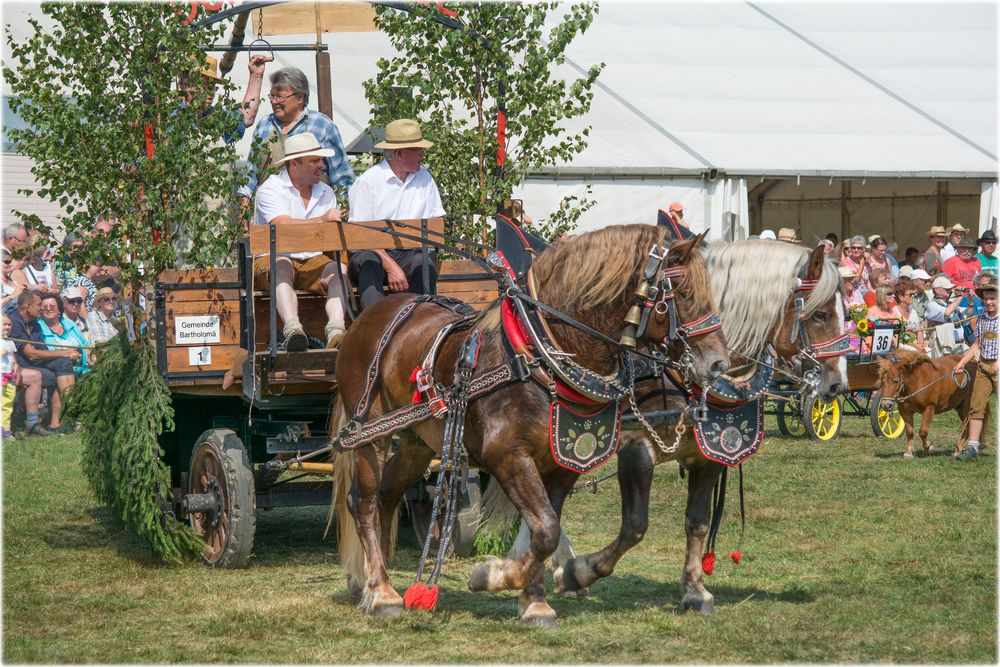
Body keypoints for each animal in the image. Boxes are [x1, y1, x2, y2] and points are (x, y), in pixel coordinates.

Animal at [332, 224, 732, 628]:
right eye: (684, 294)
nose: (719, 364)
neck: (539, 354)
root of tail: (366, 318)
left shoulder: (563, 459)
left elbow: (546, 527)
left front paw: (535, 599)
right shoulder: (507, 455)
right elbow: (545, 529)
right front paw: (492, 576)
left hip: (418, 442)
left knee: (387, 496)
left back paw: (367, 578)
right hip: (369, 434)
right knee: (363, 502)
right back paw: (381, 592)